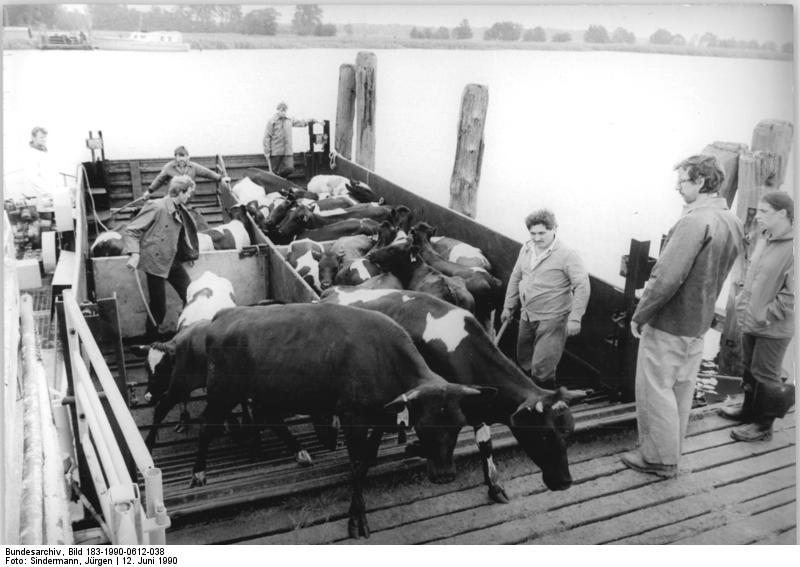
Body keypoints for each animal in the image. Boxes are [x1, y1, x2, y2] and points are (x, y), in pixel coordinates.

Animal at [194, 302, 494, 536]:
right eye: (423, 426)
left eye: (458, 425)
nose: (444, 476)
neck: (382, 356)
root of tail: (226, 313)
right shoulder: (352, 417)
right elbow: (356, 466)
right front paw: (357, 519)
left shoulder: (379, 415)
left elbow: (365, 460)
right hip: (222, 393)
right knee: (206, 427)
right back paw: (199, 475)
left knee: (267, 419)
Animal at [320, 288, 588, 502]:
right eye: (543, 434)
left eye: (569, 432)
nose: (565, 482)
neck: (467, 356)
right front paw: (417, 448)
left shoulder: (476, 404)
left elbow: (485, 444)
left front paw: (495, 487)